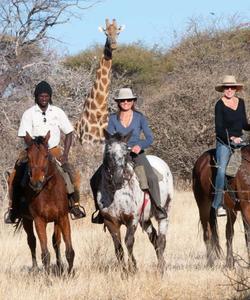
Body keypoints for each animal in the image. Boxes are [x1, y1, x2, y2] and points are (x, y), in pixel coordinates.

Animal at [12, 132, 74, 274]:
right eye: (28, 157)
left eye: (46, 155)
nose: (36, 182)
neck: (49, 190)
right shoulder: (39, 220)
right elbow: (45, 254)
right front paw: (47, 276)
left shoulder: (62, 217)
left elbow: (69, 250)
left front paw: (68, 273)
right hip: (26, 220)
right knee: (32, 241)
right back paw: (35, 269)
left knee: (56, 241)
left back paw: (59, 265)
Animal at [94, 131, 174, 274]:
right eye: (108, 152)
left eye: (125, 152)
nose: (118, 178)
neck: (117, 194)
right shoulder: (111, 222)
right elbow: (118, 248)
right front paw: (124, 272)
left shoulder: (132, 219)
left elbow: (129, 242)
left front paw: (133, 268)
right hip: (145, 219)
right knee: (154, 238)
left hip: (164, 212)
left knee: (161, 239)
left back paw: (161, 268)